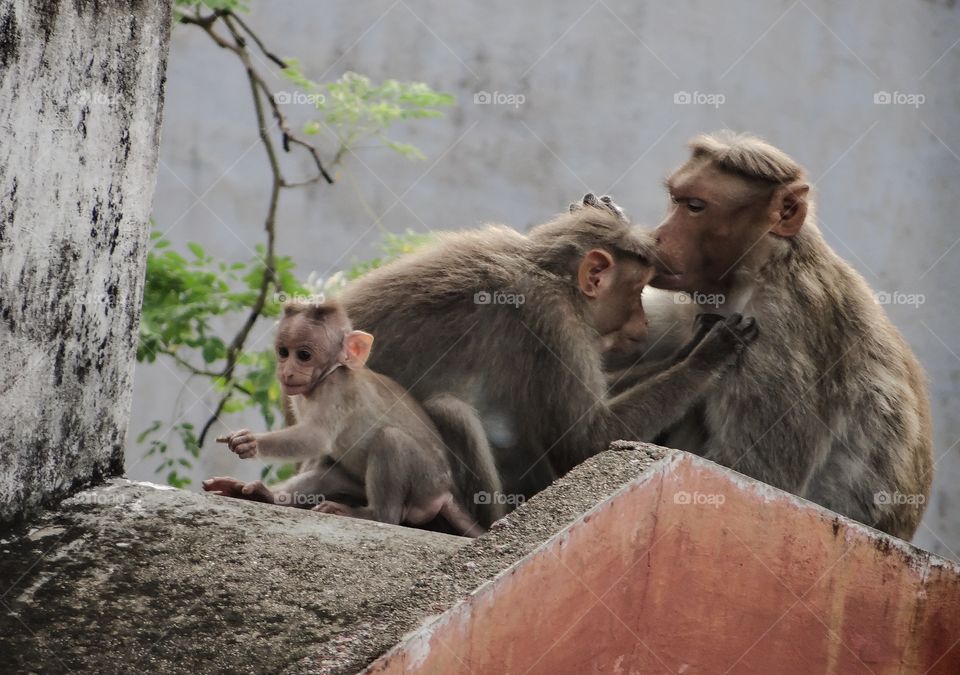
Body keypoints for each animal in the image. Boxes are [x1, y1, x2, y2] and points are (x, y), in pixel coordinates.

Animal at [205, 302, 484, 540]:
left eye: (304, 355)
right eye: (283, 352)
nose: (287, 371)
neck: (324, 378)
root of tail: (443, 492)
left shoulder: (335, 390)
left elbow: (315, 437)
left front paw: (250, 443)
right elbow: (318, 455)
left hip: (426, 479)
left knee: (390, 439)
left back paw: (372, 514)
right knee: (327, 474)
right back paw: (267, 496)